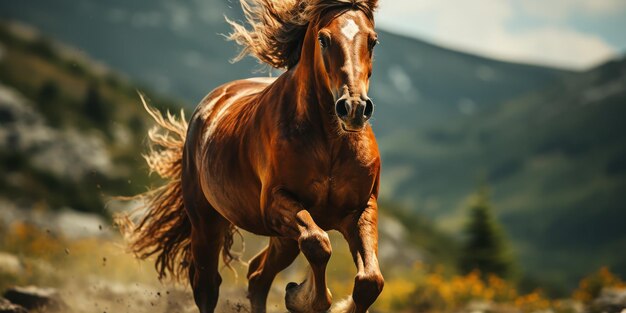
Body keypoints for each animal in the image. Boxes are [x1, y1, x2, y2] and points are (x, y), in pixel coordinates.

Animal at [116, 0, 380, 312]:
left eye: (373, 41)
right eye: (324, 39)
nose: (354, 108)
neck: (330, 143)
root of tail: (208, 105)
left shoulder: (361, 210)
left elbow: (370, 281)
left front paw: (300, 295)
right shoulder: (277, 204)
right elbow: (318, 243)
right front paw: (304, 298)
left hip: (282, 238)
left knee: (257, 276)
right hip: (207, 223)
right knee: (208, 285)